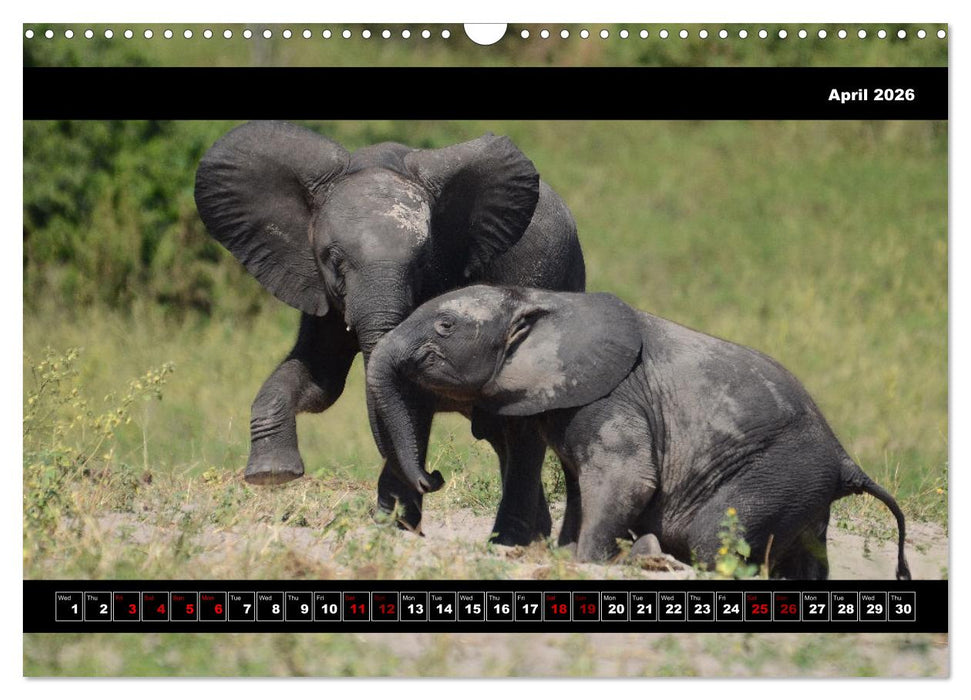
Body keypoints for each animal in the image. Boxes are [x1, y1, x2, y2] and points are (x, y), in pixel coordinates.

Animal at [194, 121, 585, 544]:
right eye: (334, 261)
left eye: (422, 263)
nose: (435, 476)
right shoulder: (322, 293)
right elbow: (321, 383)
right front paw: (271, 474)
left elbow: (410, 393)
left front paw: (393, 527)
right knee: (500, 433)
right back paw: (533, 536)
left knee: (521, 429)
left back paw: (514, 542)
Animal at [366, 284, 912, 579]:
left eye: (444, 327)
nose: (434, 477)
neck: (545, 302)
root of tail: (845, 460)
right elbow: (582, 488)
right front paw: (564, 554)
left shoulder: (615, 397)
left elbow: (624, 480)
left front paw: (587, 562)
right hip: (803, 489)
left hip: (775, 473)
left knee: (713, 539)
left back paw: (653, 557)